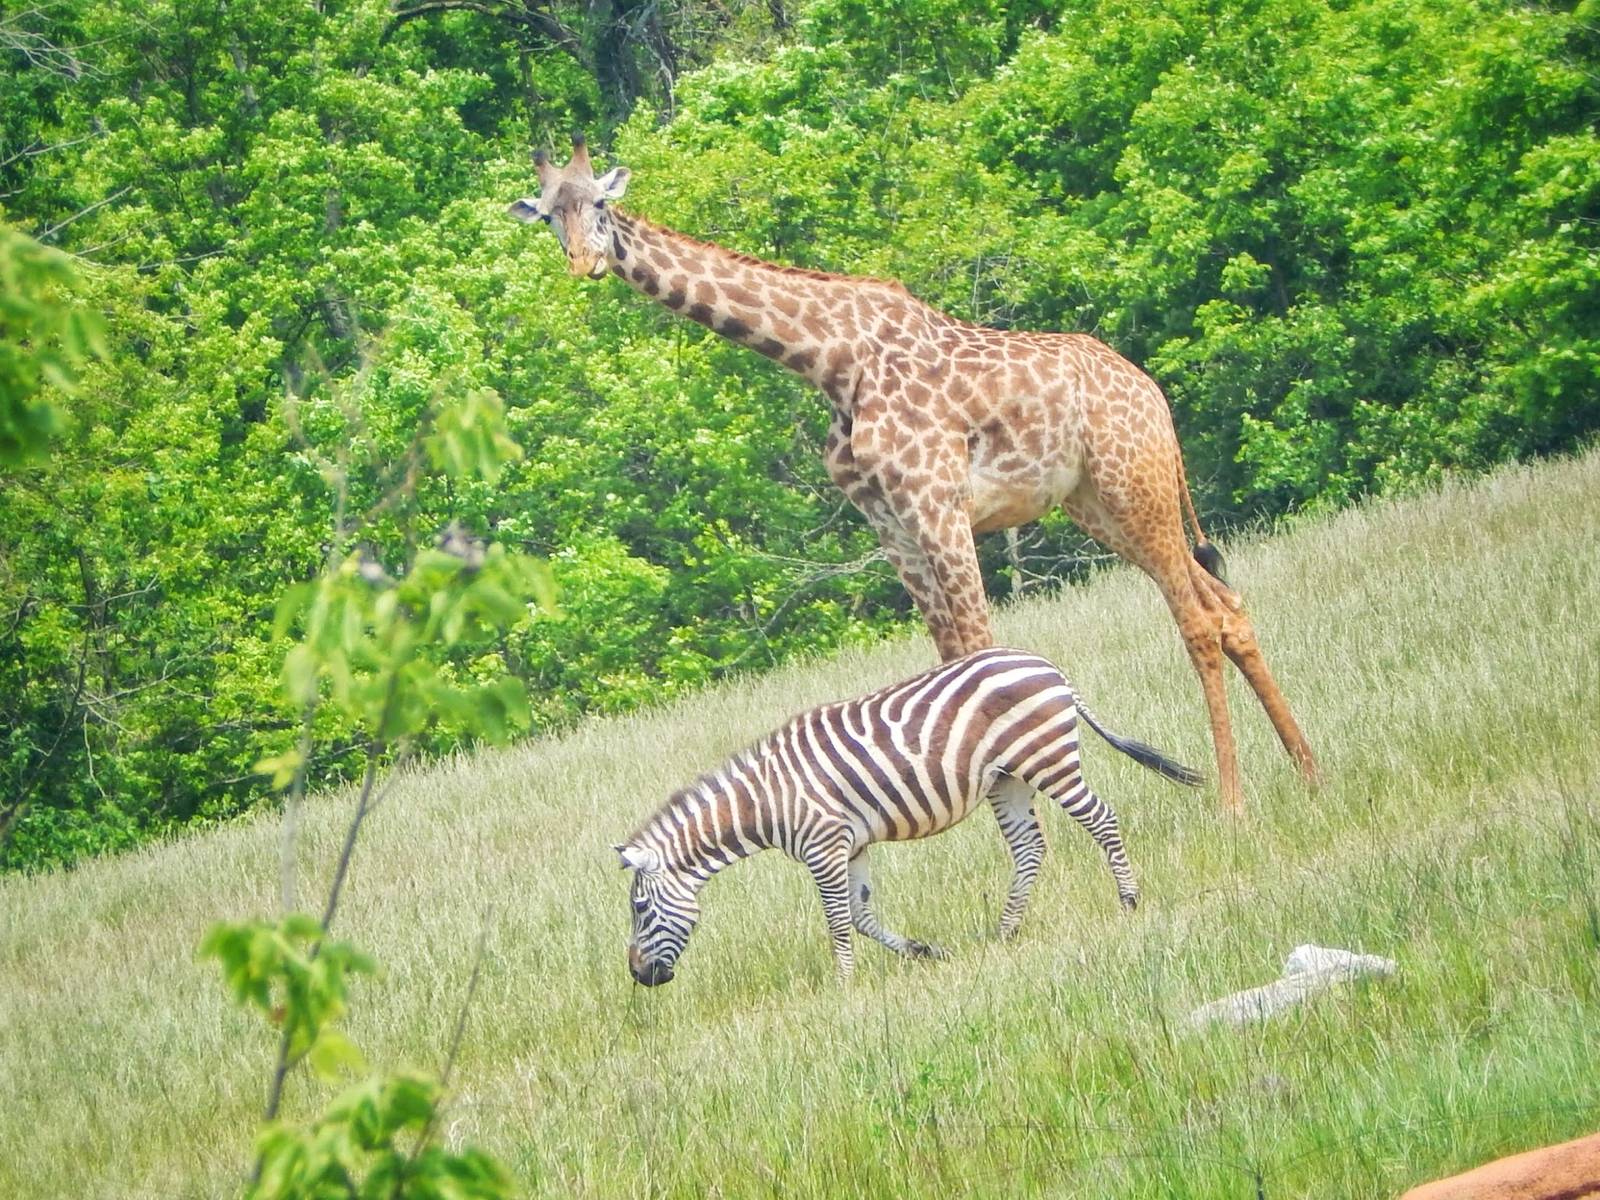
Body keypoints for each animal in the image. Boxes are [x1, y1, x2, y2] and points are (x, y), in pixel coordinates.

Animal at [508, 136, 1318, 812]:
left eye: (601, 204)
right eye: (547, 216)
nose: (584, 264)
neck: (827, 361)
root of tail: (1153, 395)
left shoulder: (938, 506)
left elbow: (981, 662)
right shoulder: (891, 524)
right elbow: (951, 666)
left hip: (1133, 487)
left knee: (1198, 620)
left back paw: (1232, 802)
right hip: (1098, 504)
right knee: (1227, 604)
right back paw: (1306, 768)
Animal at [615, 647, 1202, 985]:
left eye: (640, 909)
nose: (640, 977)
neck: (766, 799)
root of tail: (1044, 663)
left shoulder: (824, 847)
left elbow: (838, 920)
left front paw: (843, 986)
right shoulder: (852, 846)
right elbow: (861, 915)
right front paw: (924, 951)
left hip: (1047, 757)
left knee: (1101, 817)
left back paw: (1129, 900)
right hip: (1008, 778)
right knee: (1030, 848)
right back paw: (1006, 932)